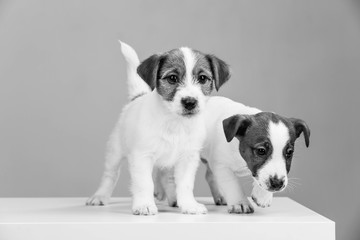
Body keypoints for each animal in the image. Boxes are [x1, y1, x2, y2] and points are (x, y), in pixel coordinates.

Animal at [86, 41, 229, 216]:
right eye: (172, 78)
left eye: (202, 78)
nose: (190, 102)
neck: (175, 123)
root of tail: (137, 97)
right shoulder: (142, 156)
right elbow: (145, 183)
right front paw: (144, 205)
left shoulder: (188, 158)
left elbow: (185, 184)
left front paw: (189, 204)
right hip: (115, 152)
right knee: (110, 175)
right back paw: (100, 196)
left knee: (166, 177)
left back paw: (173, 198)